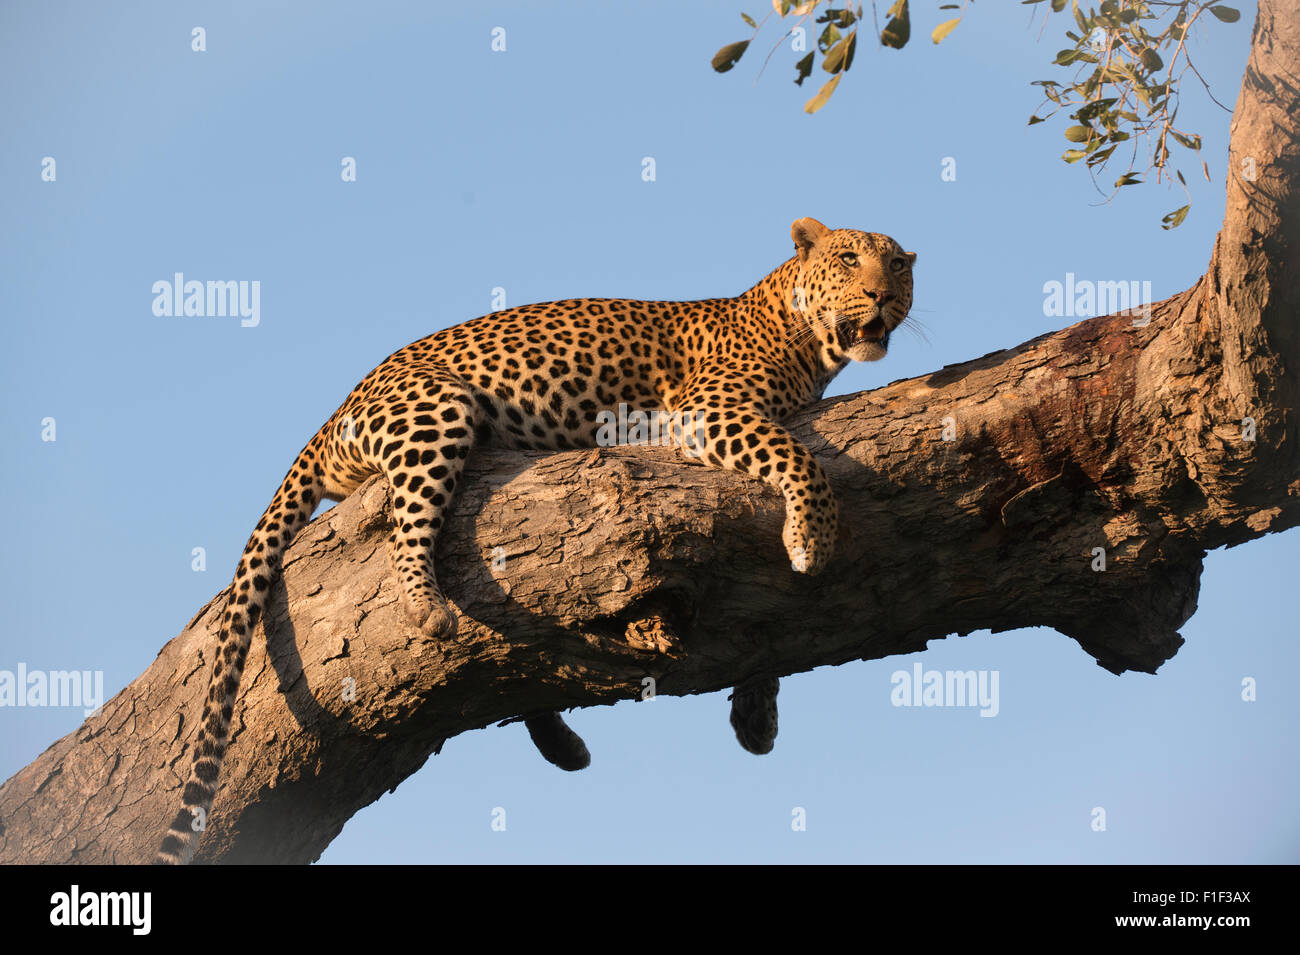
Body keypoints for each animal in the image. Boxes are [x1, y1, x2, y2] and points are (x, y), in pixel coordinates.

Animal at [155, 216, 915, 864]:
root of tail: (341, 405)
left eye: (900, 266)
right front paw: (813, 535)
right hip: (436, 411)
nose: (881, 293)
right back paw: (426, 607)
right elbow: (798, 458)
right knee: (406, 526)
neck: (806, 337)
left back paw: (560, 741)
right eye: (850, 258)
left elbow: (766, 621)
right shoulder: (710, 409)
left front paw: (757, 709)